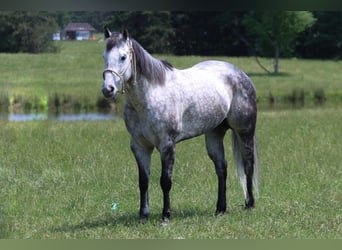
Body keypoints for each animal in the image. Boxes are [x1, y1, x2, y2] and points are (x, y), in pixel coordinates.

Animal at [101, 29, 260, 223]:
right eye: (104, 56)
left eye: (123, 57)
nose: (108, 89)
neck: (150, 96)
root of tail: (239, 74)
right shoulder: (139, 146)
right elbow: (143, 181)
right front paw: (143, 216)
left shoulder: (167, 145)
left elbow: (165, 181)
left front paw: (166, 216)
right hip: (214, 135)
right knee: (221, 169)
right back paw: (220, 209)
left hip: (244, 132)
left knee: (248, 164)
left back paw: (249, 204)